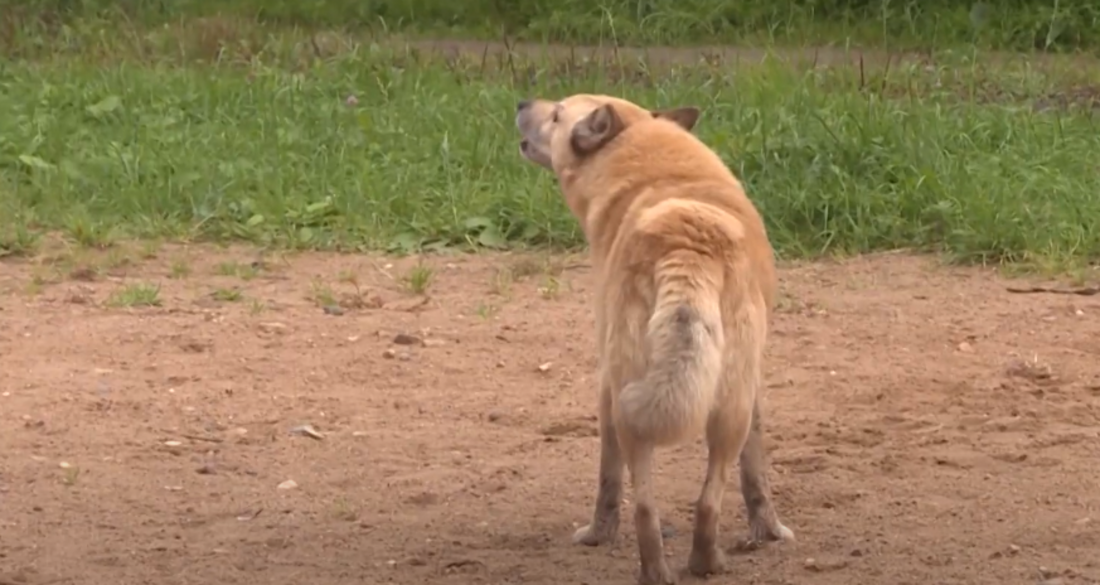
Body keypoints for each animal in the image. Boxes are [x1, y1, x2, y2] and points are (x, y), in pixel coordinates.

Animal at [514, 93, 792, 580]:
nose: (522, 101)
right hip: (725, 409)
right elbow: (754, 472)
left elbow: (607, 479)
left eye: (557, 113)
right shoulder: (751, 390)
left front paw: (597, 535)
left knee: (653, 504)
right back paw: (694, 565)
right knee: (695, 503)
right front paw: (768, 530)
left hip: (636, 400)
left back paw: (674, 568)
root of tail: (687, 244)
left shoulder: (605, 384)